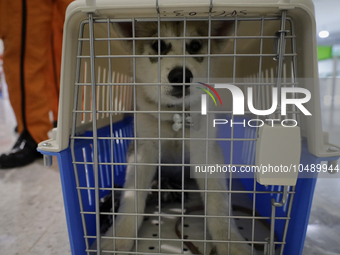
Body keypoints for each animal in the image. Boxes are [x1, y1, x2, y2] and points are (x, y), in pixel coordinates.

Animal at [103, 20, 252, 255]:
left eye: (195, 45)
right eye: (157, 45)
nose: (180, 76)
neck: (175, 114)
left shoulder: (205, 149)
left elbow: (218, 201)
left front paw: (231, 243)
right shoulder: (143, 148)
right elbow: (132, 196)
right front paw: (119, 238)